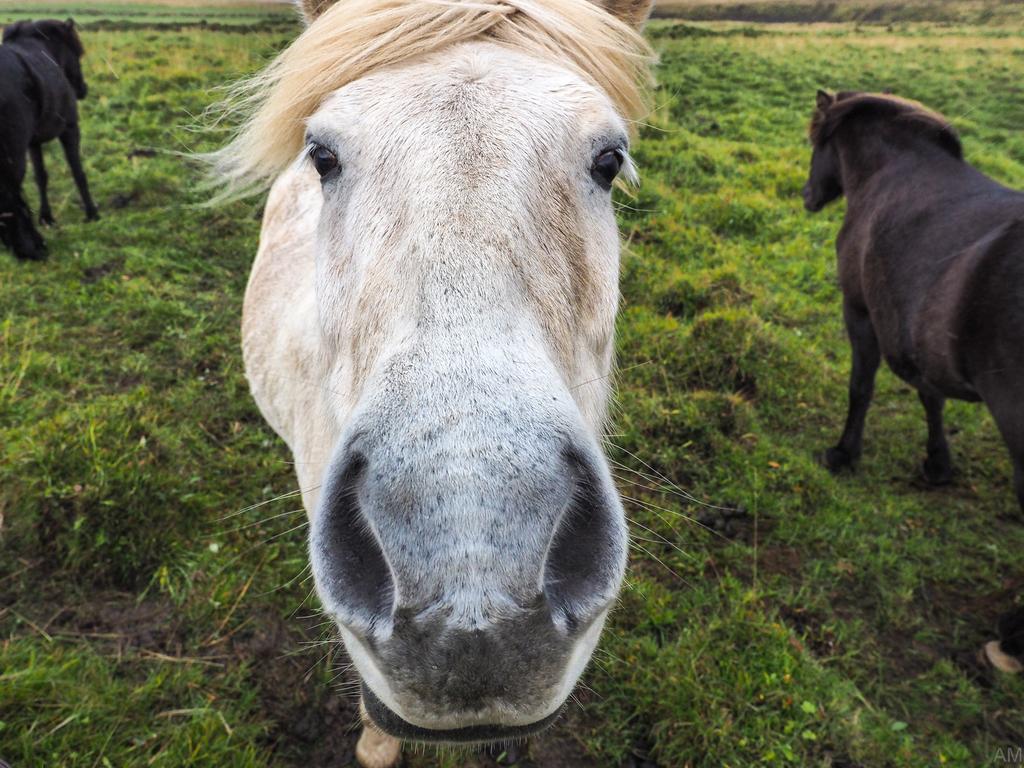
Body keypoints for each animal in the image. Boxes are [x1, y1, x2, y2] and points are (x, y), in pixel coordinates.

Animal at [0, 18, 97, 264]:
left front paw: (47, 218)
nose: (83, 89)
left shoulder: (33, 142)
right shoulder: (70, 129)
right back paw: (31, 248)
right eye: (77, 53)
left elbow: (41, 177)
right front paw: (92, 212)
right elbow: (78, 172)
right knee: (10, 198)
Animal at [806, 91, 1024, 671]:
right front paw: (937, 463)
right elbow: (931, 398)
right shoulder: (913, 334)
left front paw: (844, 453)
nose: (809, 196)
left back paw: (1013, 636)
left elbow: (862, 387)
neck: (894, 172)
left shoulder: (861, 312)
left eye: (815, 143)